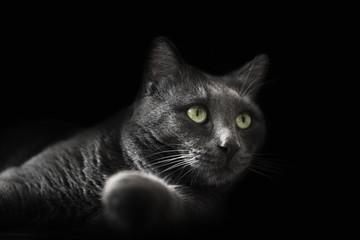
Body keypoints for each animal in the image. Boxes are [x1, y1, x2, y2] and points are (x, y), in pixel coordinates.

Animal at [0, 37, 268, 236]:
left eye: (244, 120)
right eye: (197, 113)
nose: (230, 145)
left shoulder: (200, 210)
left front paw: (130, 192)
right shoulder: (23, 180)